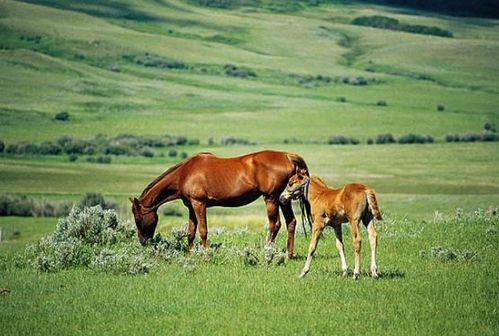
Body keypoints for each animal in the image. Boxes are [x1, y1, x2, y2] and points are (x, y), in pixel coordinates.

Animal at [129, 150, 308, 258]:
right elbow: (191, 232)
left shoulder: (199, 204)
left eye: (138, 219)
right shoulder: (191, 207)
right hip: (283, 199)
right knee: (291, 222)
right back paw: (289, 255)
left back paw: (267, 252)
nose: (143, 242)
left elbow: (203, 230)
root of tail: (287, 156)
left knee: (274, 225)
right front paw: (190, 254)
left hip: (271, 198)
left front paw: (205, 254)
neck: (184, 173)